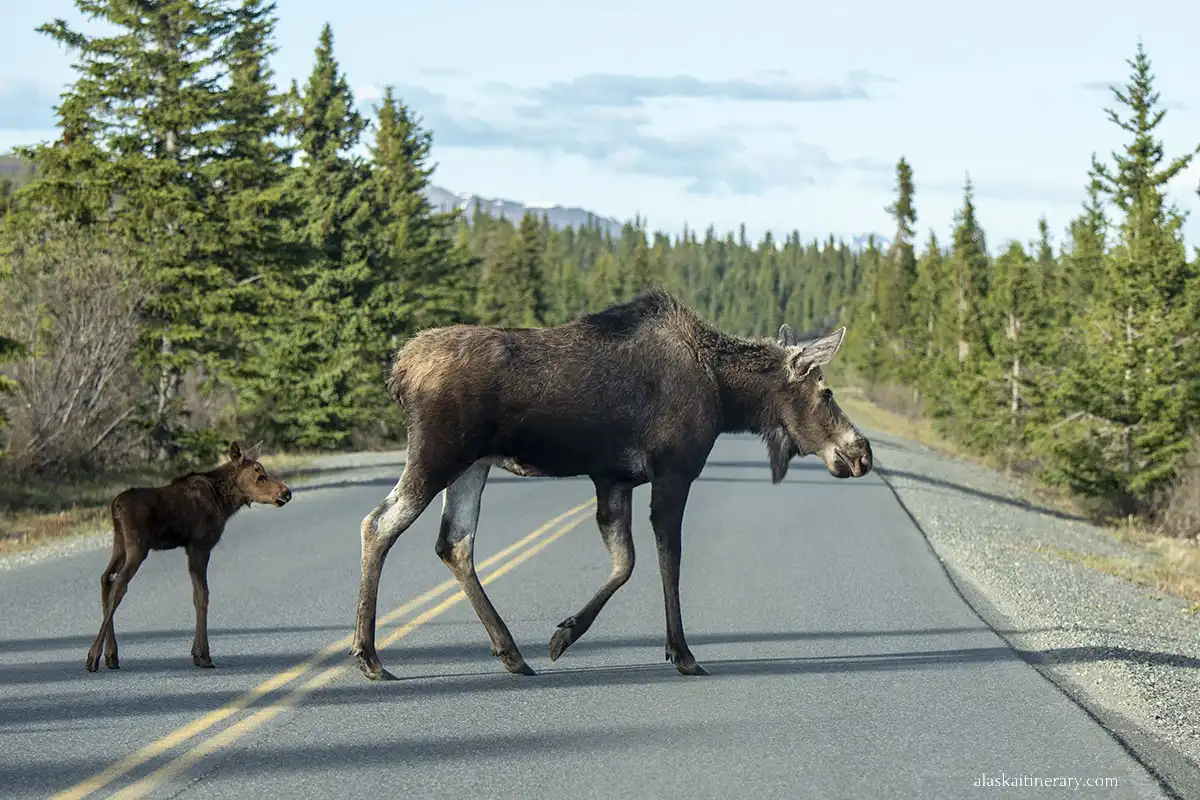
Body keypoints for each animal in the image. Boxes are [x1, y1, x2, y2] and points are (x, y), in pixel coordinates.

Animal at [84, 440, 293, 673]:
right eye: (260, 476)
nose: (286, 493)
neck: (225, 502)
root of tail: (116, 506)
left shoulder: (191, 547)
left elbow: (196, 594)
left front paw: (197, 653)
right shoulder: (199, 544)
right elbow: (202, 595)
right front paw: (203, 655)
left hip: (119, 542)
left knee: (106, 579)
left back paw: (111, 655)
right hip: (137, 546)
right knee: (119, 584)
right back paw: (93, 656)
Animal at [350, 289, 873, 681]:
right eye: (826, 392)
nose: (862, 453)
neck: (727, 395)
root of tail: (399, 370)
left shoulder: (614, 479)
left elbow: (625, 563)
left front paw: (563, 635)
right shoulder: (672, 471)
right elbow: (667, 558)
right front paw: (682, 653)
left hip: (472, 464)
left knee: (455, 542)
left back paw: (510, 652)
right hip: (439, 453)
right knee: (379, 523)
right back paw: (370, 656)